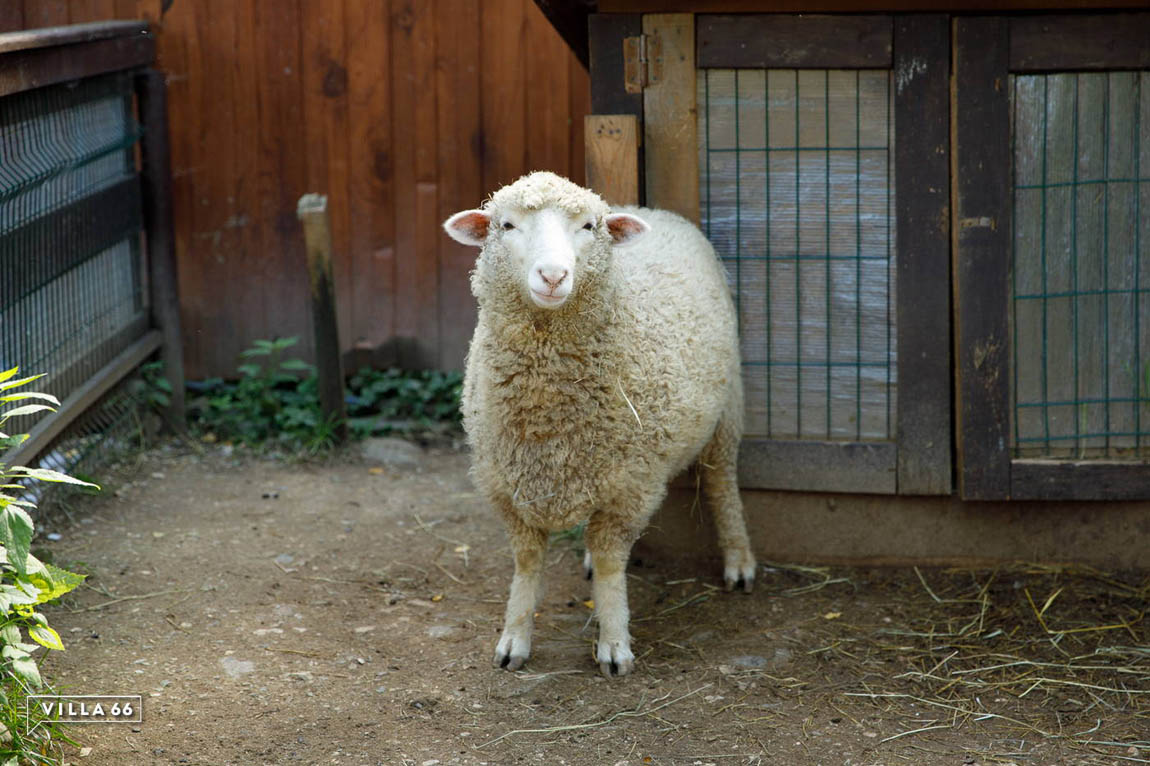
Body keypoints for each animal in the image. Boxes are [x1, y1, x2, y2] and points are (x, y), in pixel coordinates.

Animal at [441, 171, 754, 676]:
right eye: (506, 225)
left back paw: (739, 562)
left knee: (721, 481)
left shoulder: (632, 487)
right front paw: (514, 638)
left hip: (728, 407)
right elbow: (527, 562)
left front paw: (614, 644)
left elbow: (611, 564)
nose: (553, 276)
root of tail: (651, 210)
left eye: (588, 226)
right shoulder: (505, 485)